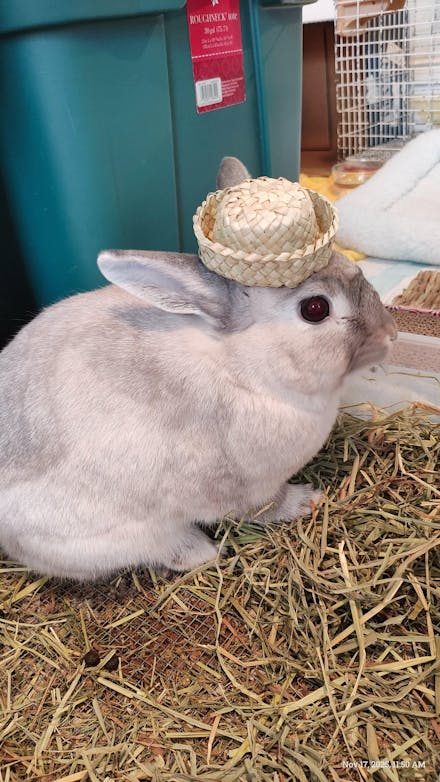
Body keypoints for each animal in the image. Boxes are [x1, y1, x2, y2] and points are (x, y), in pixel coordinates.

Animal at [0, 157, 397, 581]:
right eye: (315, 309)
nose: (391, 334)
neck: (244, 369)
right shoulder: (247, 488)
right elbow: (266, 506)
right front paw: (310, 500)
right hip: (124, 533)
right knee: (167, 550)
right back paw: (207, 552)